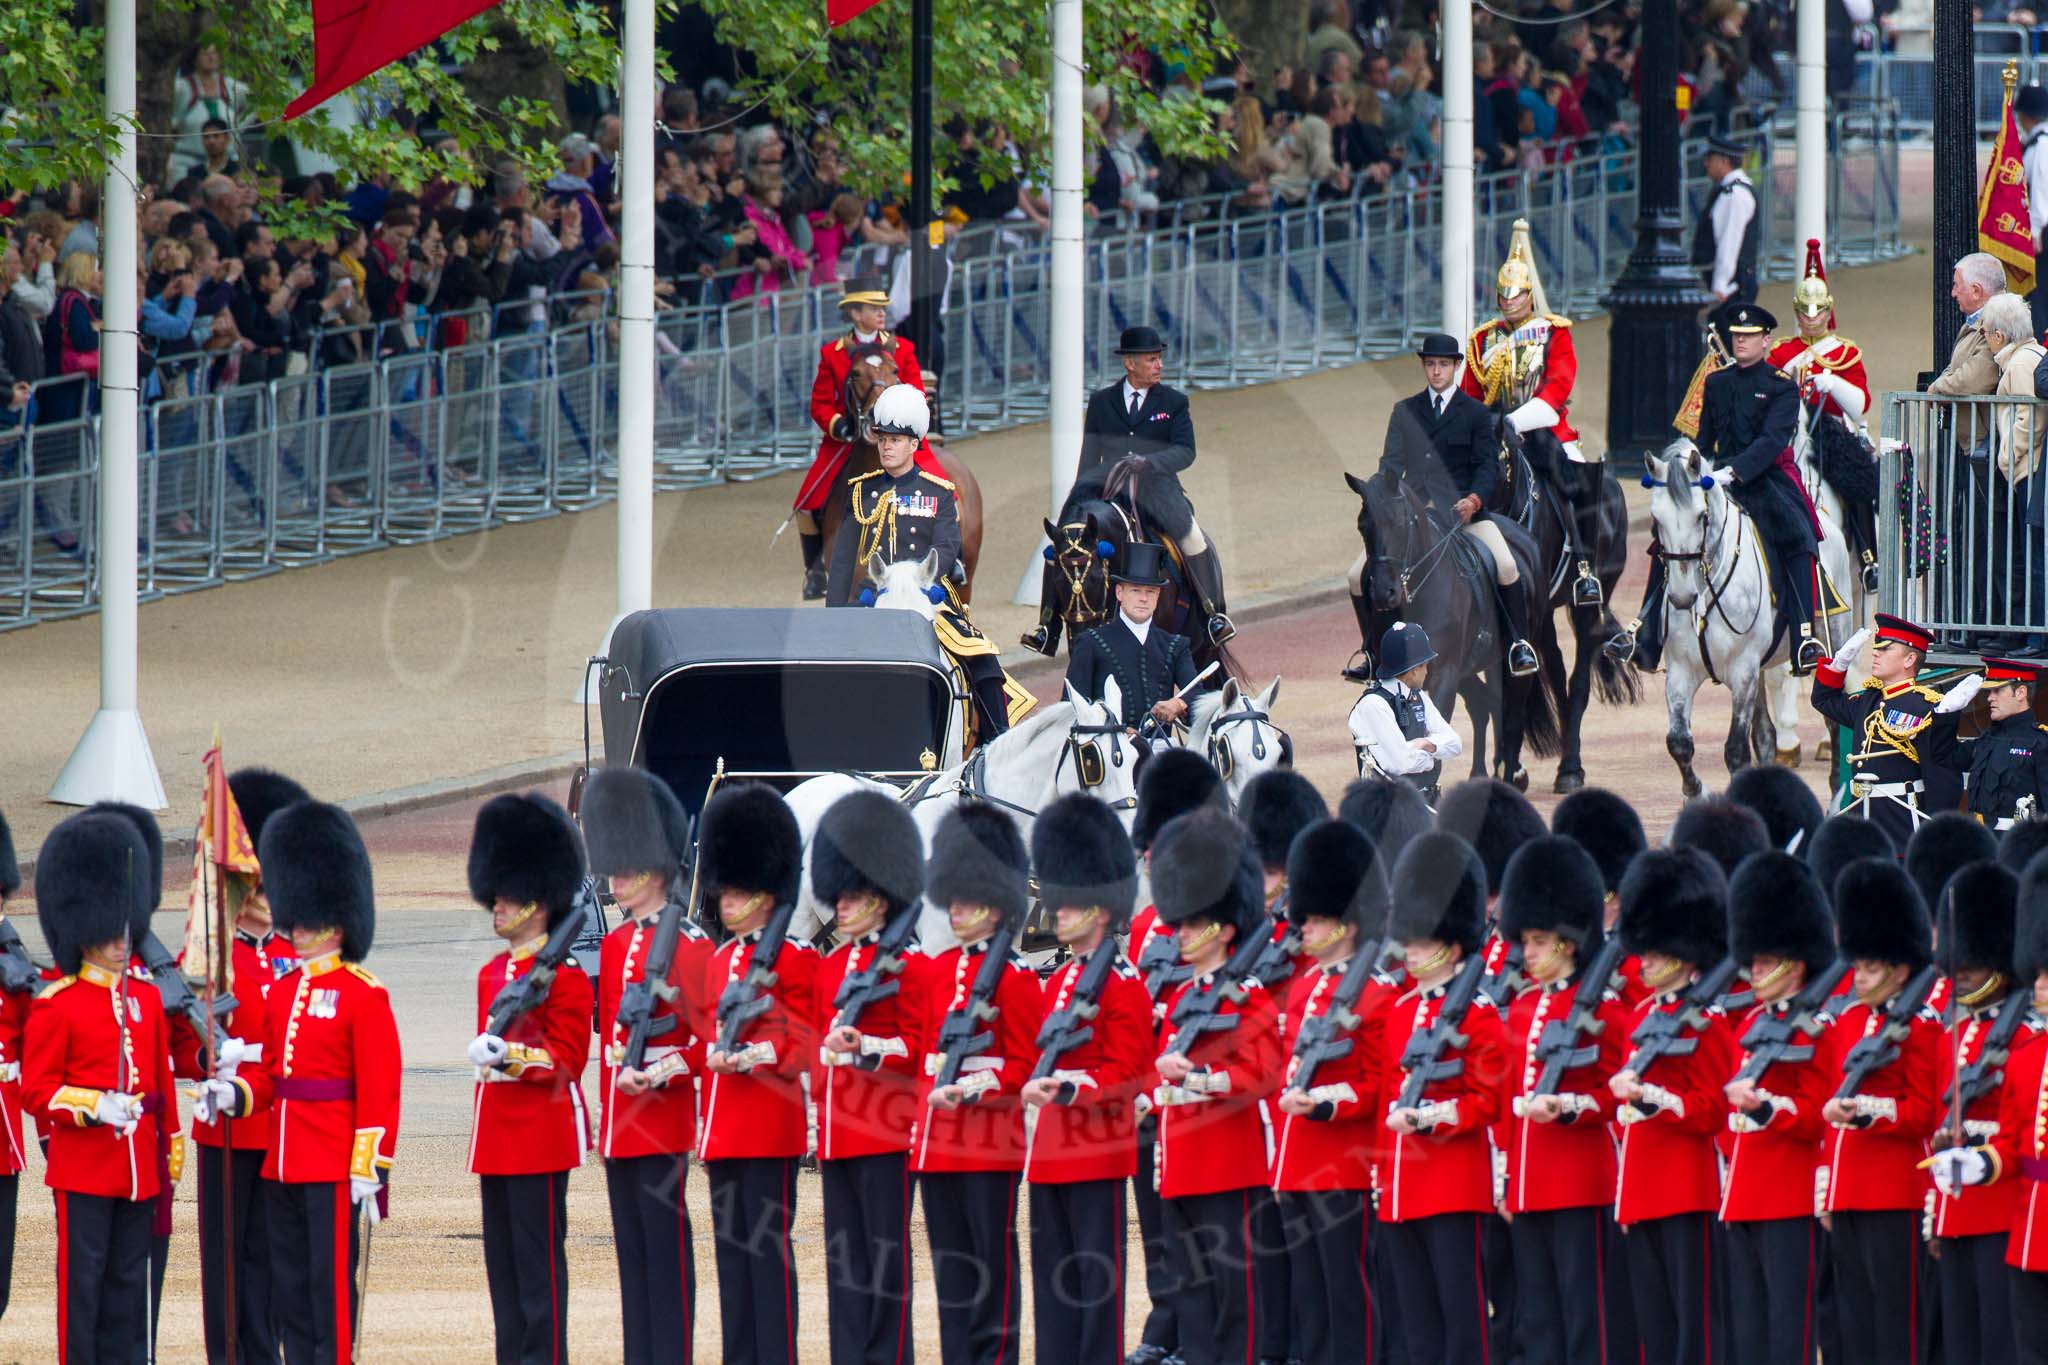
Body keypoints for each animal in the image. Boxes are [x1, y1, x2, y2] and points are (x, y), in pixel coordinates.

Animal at [1351, 470, 1556, 789]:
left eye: (1400, 523)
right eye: (1363, 526)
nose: (1384, 594)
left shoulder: (1444, 673)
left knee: (1511, 711)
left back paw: (1511, 775)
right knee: (1485, 704)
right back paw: (1484, 773)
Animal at [1646, 444, 1859, 794]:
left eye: (1701, 516)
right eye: (1656, 519)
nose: (1681, 597)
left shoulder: (1742, 671)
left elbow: (1735, 750)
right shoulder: (1680, 672)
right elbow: (1679, 743)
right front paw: (1695, 792)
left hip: (1833, 645)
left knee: (1832, 722)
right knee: (1765, 735)